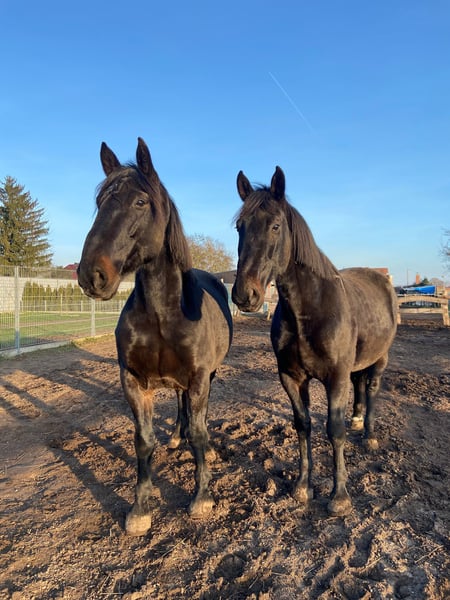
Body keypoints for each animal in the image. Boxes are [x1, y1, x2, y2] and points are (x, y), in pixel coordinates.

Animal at [77, 138, 232, 536]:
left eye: (140, 202)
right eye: (99, 203)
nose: (92, 275)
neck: (164, 314)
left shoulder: (199, 377)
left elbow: (200, 431)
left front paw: (202, 498)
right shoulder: (134, 381)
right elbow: (143, 441)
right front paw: (139, 509)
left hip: (208, 376)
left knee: (199, 415)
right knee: (180, 407)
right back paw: (177, 436)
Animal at [232, 166, 397, 516]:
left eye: (275, 226)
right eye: (240, 227)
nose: (244, 294)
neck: (310, 308)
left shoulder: (335, 378)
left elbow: (334, 430)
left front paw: (340, 496)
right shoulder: (292, 378)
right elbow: (303, 425)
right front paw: (302, 486)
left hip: (380, 359)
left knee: (372, 388)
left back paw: (369, 434)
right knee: (360, 386)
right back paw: (358, 419)